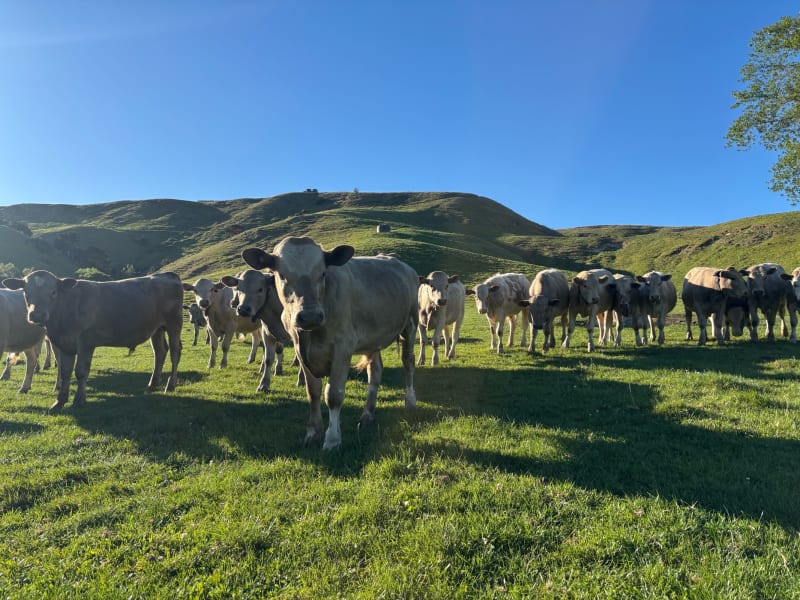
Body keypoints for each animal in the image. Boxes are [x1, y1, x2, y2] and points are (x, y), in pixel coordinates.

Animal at [3, 271, 182, 408]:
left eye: (53, 292)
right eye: (26, 292)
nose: (37, 315)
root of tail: (166, 275)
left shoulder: (86, 342)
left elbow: (81, 371)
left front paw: (78, 400)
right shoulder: (64, 344)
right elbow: (65, 372)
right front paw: (59, 401)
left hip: (174, 324)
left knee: (174, 352)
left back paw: (170, 385)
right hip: (156, 329)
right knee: (160, 352)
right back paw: (152, 385)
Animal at [241, 236, 419, 451]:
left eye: (323, 273)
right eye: (281, 275)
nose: (309, 315)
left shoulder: (343, 348)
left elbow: (333, 394)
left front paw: (332, 439)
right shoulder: (301, 351)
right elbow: (313, 392)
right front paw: (313, 432)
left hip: (411, 324)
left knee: (408, 362)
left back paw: (410, 403)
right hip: (373, 339)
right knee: (375, 372)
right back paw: (367, 414)